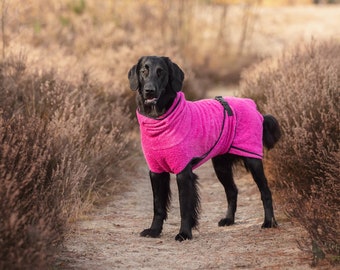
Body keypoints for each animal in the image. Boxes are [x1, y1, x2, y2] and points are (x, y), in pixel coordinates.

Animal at [128, 56, 282, 242]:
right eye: (144, 71)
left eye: (161, 72)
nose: (149, 90)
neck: (158, 119)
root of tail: (253, 106)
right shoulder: (156, 171)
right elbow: (158, 206)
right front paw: (154, 230)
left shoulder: (183, 172)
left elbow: (185, 207)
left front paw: (184, 233)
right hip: (221, 166)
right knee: (232, 191)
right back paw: (229, 219)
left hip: (253, 160)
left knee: (265, 191)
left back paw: (269, 222)